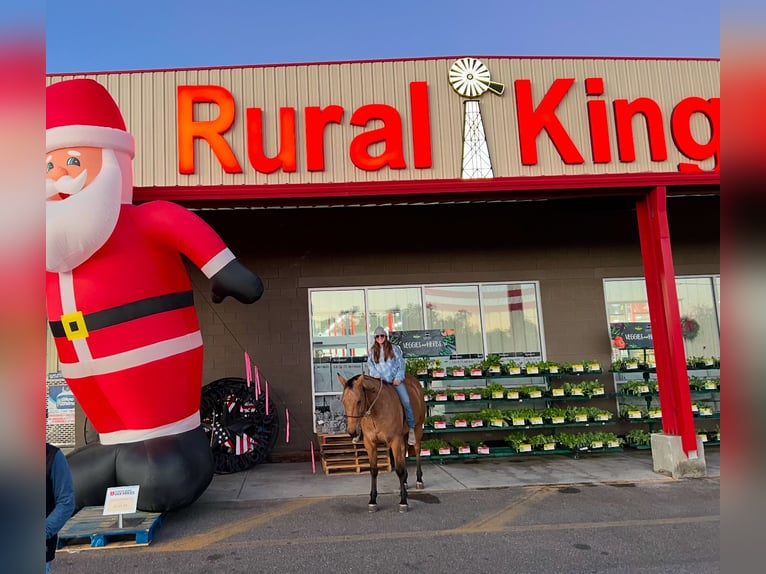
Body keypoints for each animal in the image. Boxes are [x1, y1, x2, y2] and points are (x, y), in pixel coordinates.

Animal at [340, 376, 428, 516]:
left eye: (359, 401)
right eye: (343, 401)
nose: (352, 431)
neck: (376, 411)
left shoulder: (395, 440)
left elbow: (398, 470)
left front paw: (403, 502)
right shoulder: (370, 444)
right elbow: (374, 470)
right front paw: (372, 501)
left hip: (418, 428)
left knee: (417, 450)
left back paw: (419, 480)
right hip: (402, 437)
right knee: (403, 453)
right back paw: (405, 482)